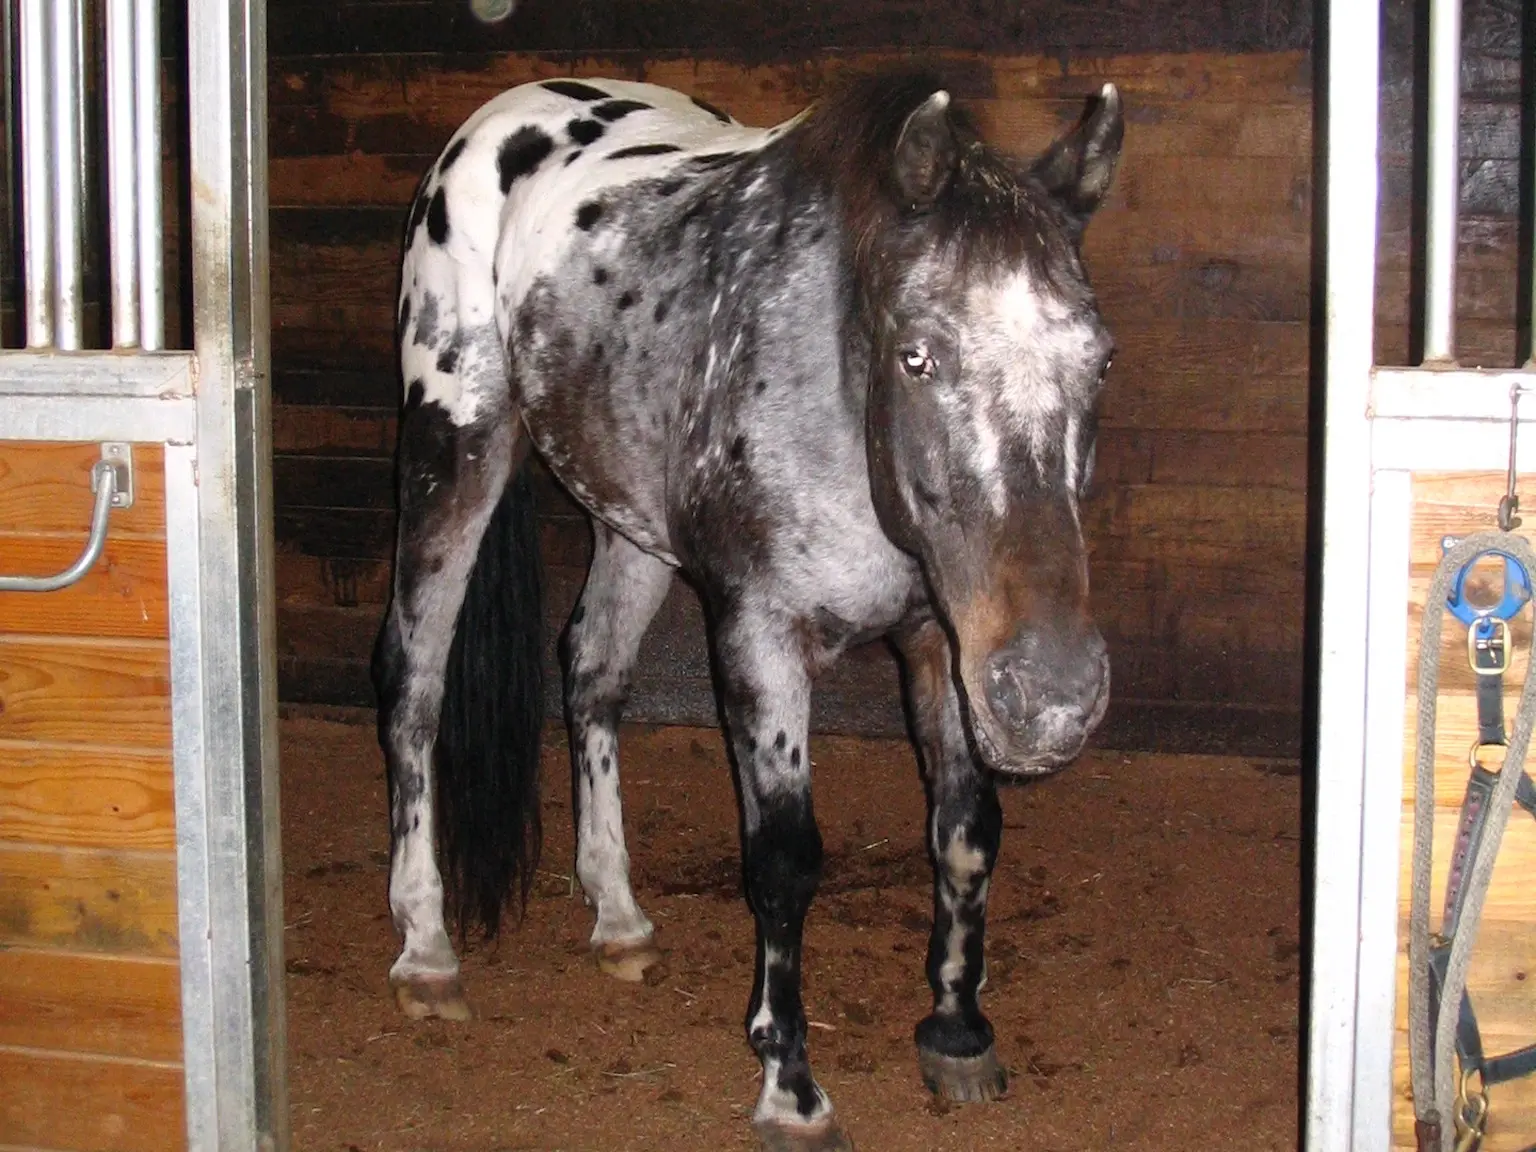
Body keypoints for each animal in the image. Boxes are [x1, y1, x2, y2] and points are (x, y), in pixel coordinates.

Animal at [371, 69, 1118, 1152]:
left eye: (1099, 360)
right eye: (919, 356)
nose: (1056, 693)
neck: (835, 401)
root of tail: (502, 114)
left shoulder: (945, 638)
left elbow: (965, 826)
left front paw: (957, 1032)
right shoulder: (761, 637)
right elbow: (783, 859)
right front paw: (790, 1085)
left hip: (629, 524)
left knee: (591, 672)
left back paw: (618, 918)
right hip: (452, 452)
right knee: (412, 687)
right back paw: (426, 950)